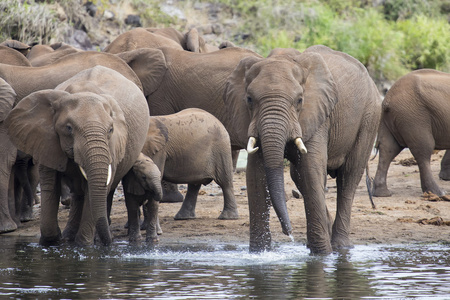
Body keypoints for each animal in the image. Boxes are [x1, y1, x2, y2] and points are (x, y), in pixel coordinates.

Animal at [223, 45, 382, 254]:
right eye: (249, 99)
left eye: (299, 100)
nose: (288, 233)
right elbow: (256, 176)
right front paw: (259, 254)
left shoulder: (318, 117)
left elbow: (310, 170)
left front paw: (322, 255)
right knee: (297, 176)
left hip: (369, 117)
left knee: (349, 176)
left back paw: (340, 246)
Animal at [372, 69, 450, 198]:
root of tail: (387, 98)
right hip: (414, 117)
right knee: (423, 150)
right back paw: (438, 193)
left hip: (392, 118)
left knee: (388, 149)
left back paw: (382, 194)